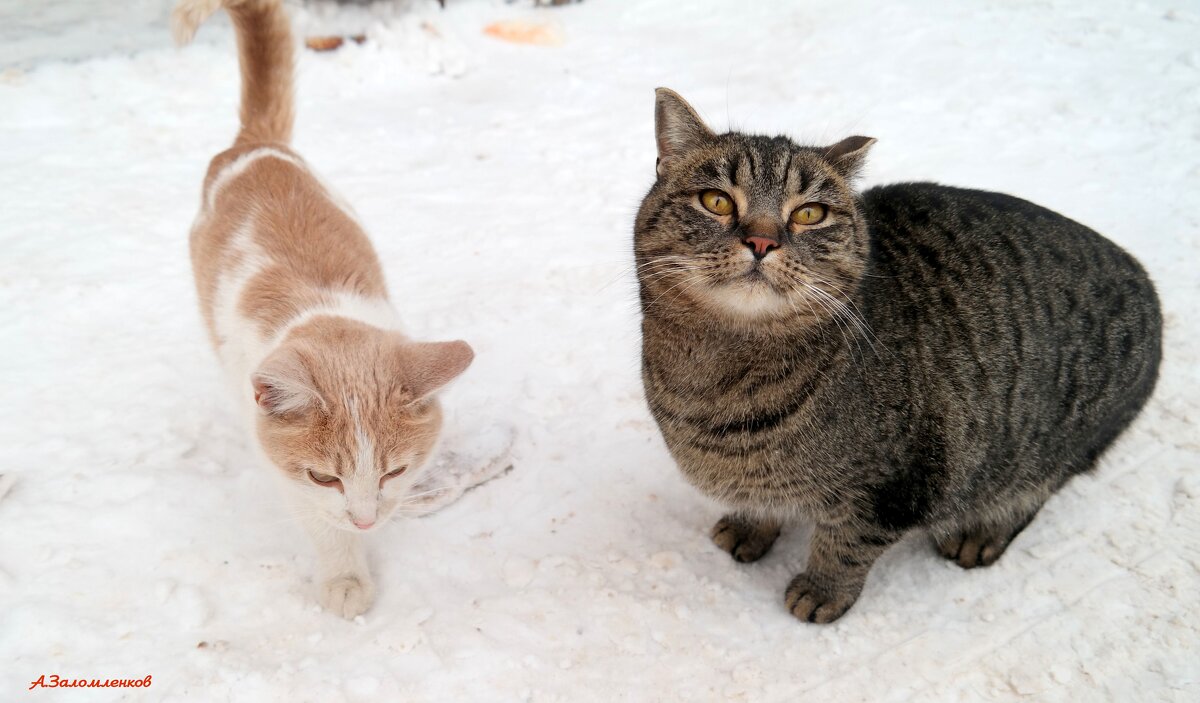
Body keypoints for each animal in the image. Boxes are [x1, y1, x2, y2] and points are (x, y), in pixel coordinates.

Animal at [174, 0, 472, 614]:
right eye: (324, 478)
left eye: (394, 470)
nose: (365, 520)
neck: (320, 314)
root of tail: (254, 145)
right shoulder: (281, 463)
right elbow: (316, 522)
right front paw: (345, 575)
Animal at [638, 87, 1161, 619]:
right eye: (716, 201)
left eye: (809, 213)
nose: (762, 241)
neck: (713, 378)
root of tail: (1142, 280)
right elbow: (760, 501)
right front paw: (749, 527)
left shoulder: (894, 489)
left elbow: (845, 547)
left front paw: (822, 591)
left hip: (1041, 453)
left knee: (1029, 494)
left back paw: (980, 533)